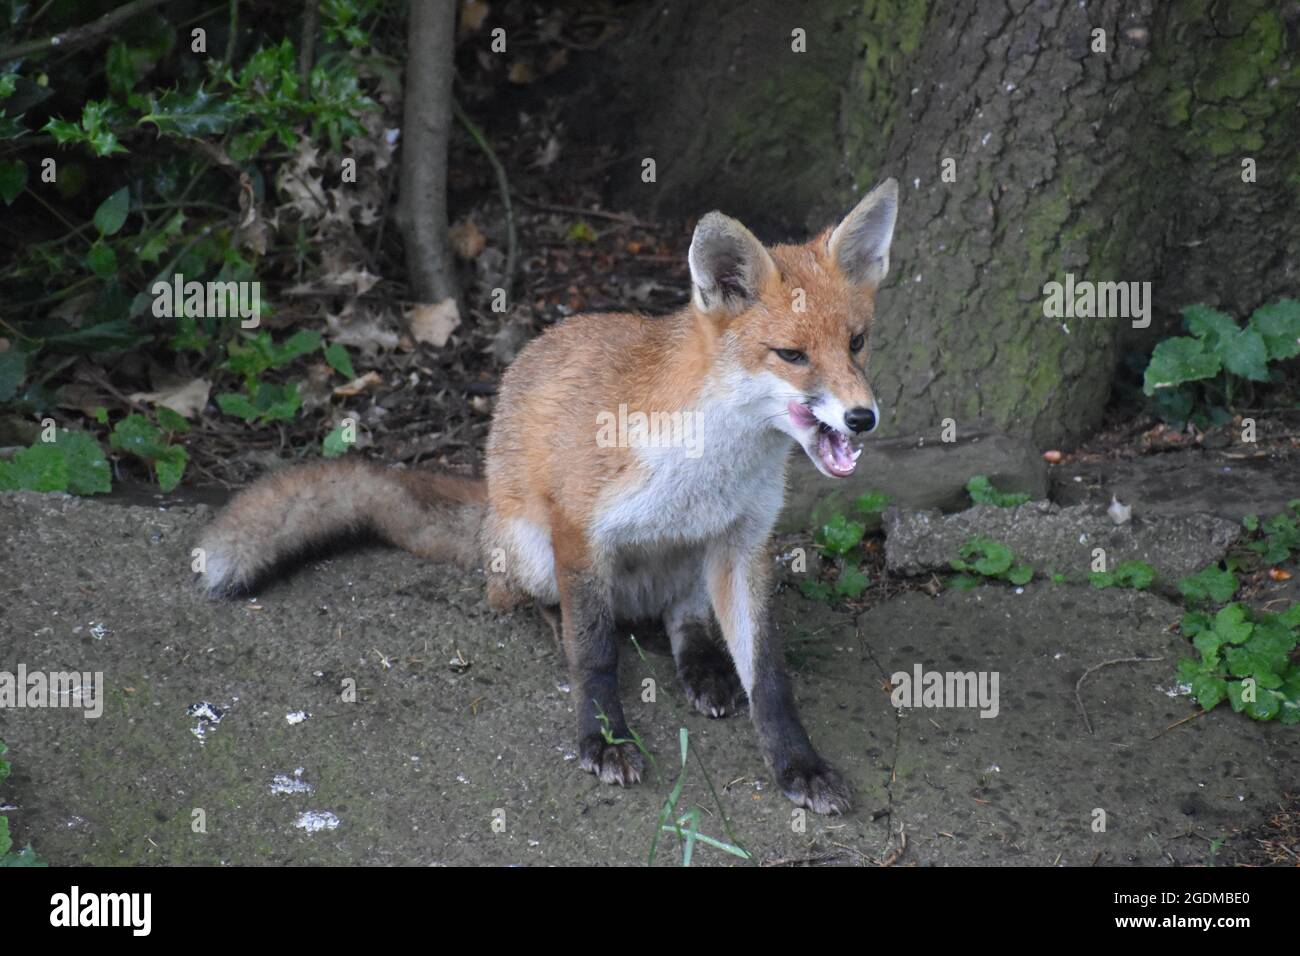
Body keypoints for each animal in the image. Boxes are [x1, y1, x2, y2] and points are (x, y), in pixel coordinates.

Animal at [198, 178, 899, 815]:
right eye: (792, 355)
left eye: (857, 342)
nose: (863, 418)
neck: (710, 462)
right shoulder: (579, 529)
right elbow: (593, 653)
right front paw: (605, 738)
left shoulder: (743, 542)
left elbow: (770, 679)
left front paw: (798, 764)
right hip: (532, 552)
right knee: (524, 602)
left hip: (690, 563)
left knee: (683, 619)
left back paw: (703, 664)